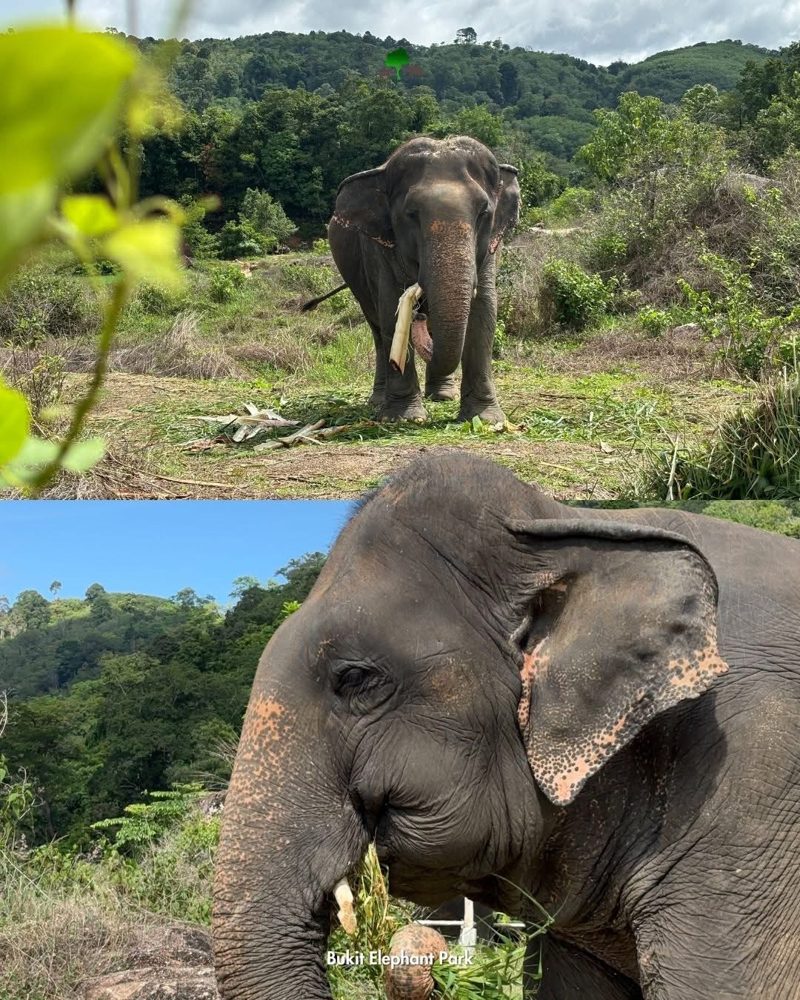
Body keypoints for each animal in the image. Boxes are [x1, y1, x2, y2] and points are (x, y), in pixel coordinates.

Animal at [326, 136, 520, 423]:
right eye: (411, 214)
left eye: (483, 212)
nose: (419, 314)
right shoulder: (380, 249)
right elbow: (391, 309)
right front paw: (405, 418)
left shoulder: (491, 250)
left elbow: (484, 311)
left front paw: (485, 419)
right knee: (377, 329)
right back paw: (379, 401)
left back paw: (442, 395)